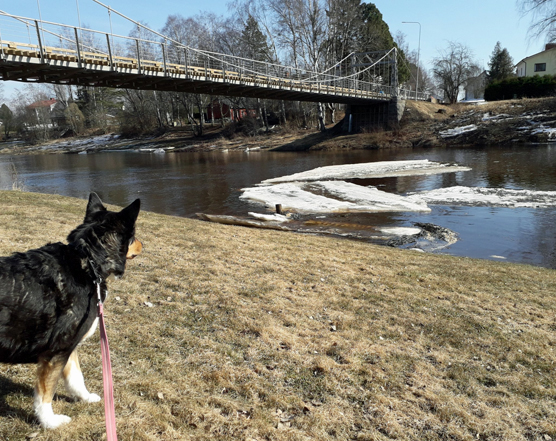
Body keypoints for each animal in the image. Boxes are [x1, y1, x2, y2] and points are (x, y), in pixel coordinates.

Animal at [0, 192, 141, 426]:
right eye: (134, 235)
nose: (143, 244)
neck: (88, 261)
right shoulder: (56, 351)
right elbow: (45, 393)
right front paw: (49, 422)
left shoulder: (69, 348)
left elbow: (76, 378)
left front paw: (85, 397)